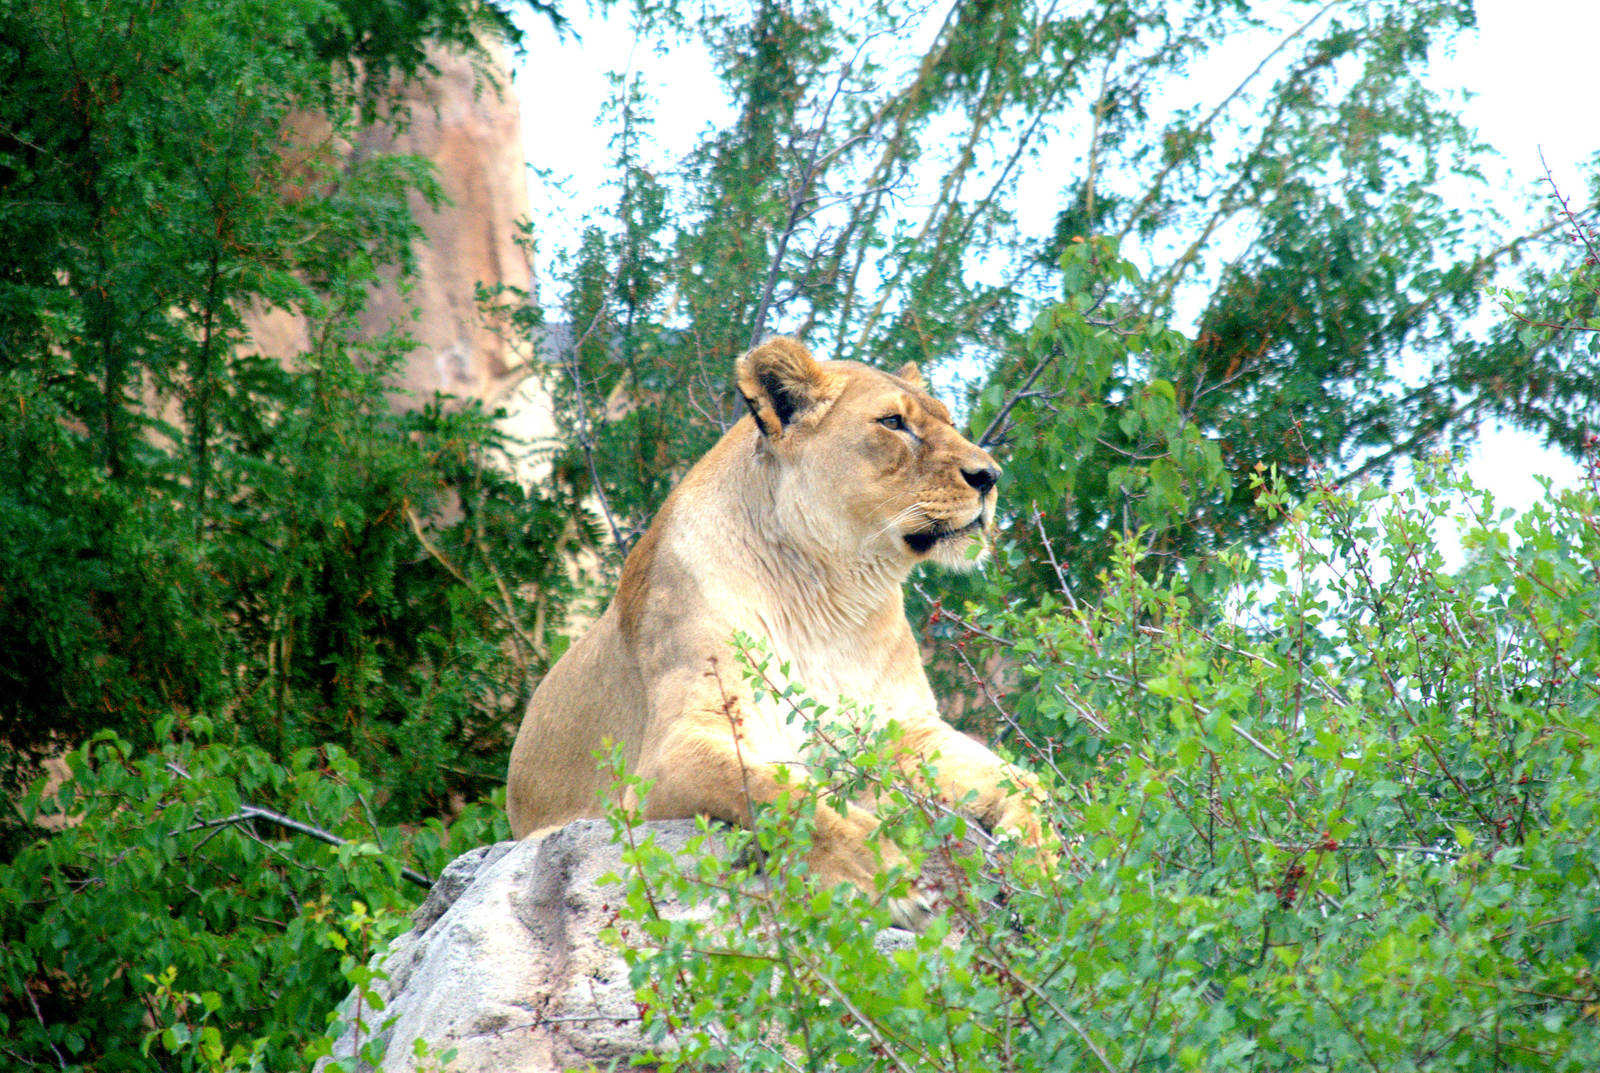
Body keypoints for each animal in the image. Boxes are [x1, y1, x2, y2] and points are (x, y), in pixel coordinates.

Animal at [506, 336, 1048, 926]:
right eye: (893, 422)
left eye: (950, 421)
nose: (990, 476)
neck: (833, 599)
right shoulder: (669, 753)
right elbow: (782, 790)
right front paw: (888, 875)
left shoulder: (906, 729)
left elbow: (1024, 778)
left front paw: (1040, 853)